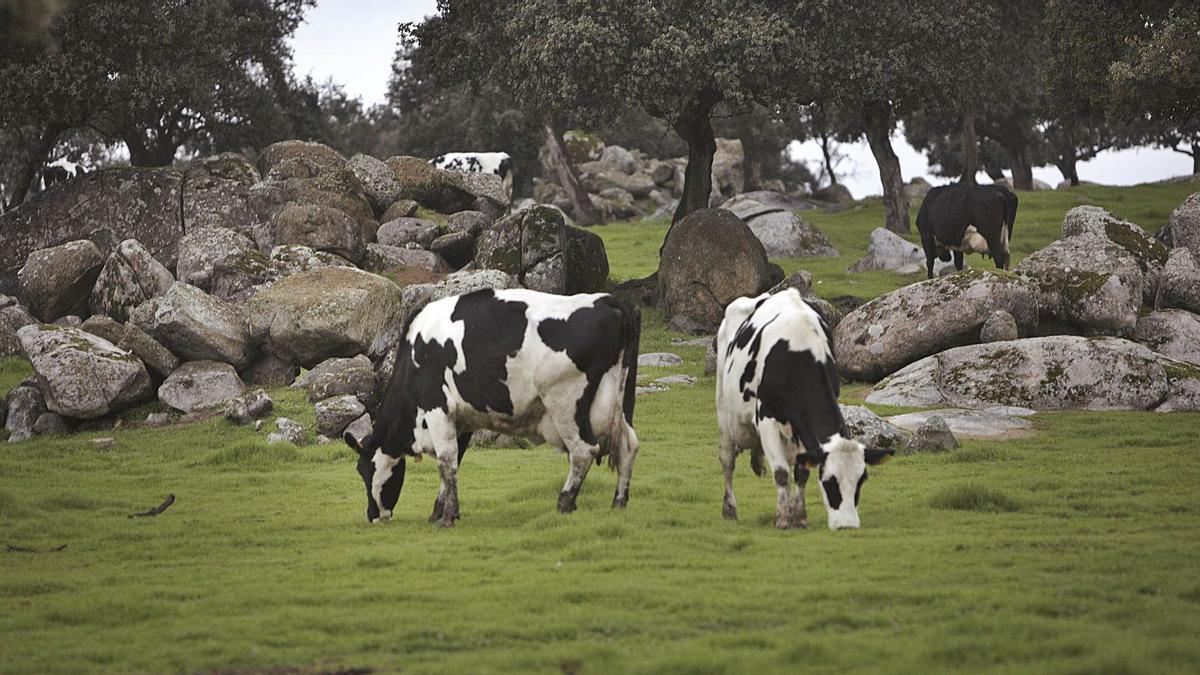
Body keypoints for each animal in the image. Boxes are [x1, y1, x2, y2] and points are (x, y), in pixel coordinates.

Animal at [343, 285, 643, 523]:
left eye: (364, 471)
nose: (372, 515)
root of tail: (606, 300)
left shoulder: (437, 408)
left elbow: (446, 460)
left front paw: (447, 517)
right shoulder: (462, 420)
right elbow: (453, 464)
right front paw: (441, 511)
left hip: (565, 401)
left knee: (583, 450)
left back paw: (564, 503)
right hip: (619, 402)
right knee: (627, 446)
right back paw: (619, 503)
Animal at [710, 285, 892, 528]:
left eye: (861, 481)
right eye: (829, 482)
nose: (847, 525)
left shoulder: (805, 432)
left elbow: (801, 472)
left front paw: (799, 517)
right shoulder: (766, 417)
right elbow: (781, 473)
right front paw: (783, 519)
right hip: (724, 410)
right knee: (727, 460)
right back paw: (729, 509)